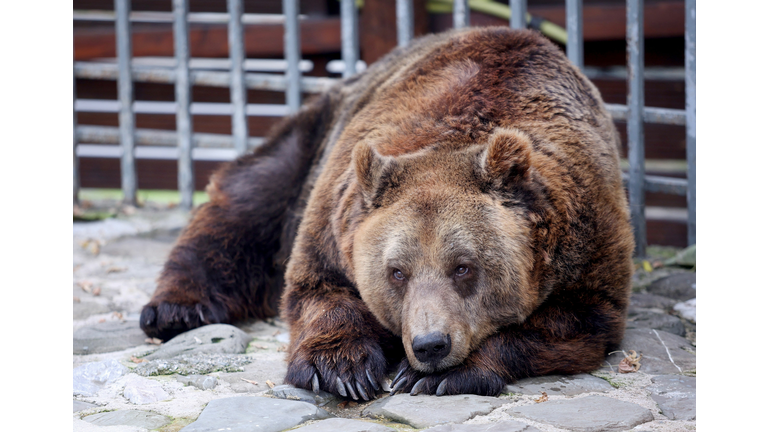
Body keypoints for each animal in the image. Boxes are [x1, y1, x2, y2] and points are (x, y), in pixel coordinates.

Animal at [141, 27, 632, 398]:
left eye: (464, 267)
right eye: (397, 272)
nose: (431, 345)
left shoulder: (585, 242)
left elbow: (576, 323)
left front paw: (437, 375)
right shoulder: (334, 218)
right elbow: (318, 290)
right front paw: (341, 369)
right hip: (312, 141)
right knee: (247, 201)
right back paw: (175, 310)